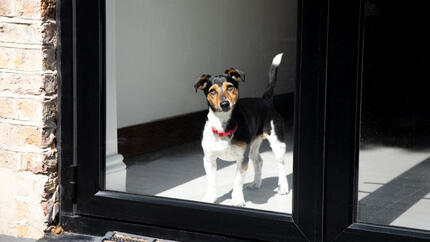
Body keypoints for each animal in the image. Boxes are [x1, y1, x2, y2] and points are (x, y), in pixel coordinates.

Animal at [194, 53, 288, 206]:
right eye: (212, 91)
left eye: (230, 87)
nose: (224, 104)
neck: (223, 126)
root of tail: (265, 100)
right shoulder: (209, 159)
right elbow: (211, 182)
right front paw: (210, 198)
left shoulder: (242, 159)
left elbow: (237, 182)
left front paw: (237, 199)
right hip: (253, 145)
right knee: (259, 161)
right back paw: (256, 183)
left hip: (278, 144)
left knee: (281, 165)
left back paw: (283, 187)